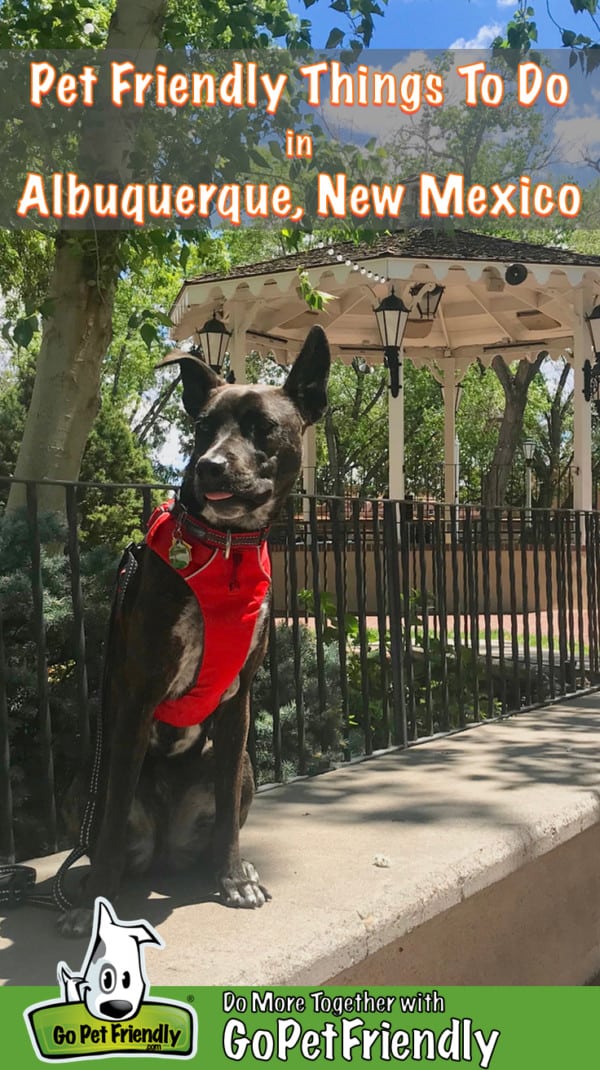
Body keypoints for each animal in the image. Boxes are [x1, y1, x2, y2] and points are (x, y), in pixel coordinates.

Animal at [58, 323, 329, 937]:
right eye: (203, 426)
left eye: (262, 427)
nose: (209, 465)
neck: (226, 549)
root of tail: (162, 850)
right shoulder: (136, 700)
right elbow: (111, 817)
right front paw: (97, 897)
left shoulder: (239, 705)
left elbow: (227, 811)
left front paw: (231, 877)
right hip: (89, 769)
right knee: (108, 830)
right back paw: (89, 884)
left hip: (245, 764)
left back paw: (224, 864)